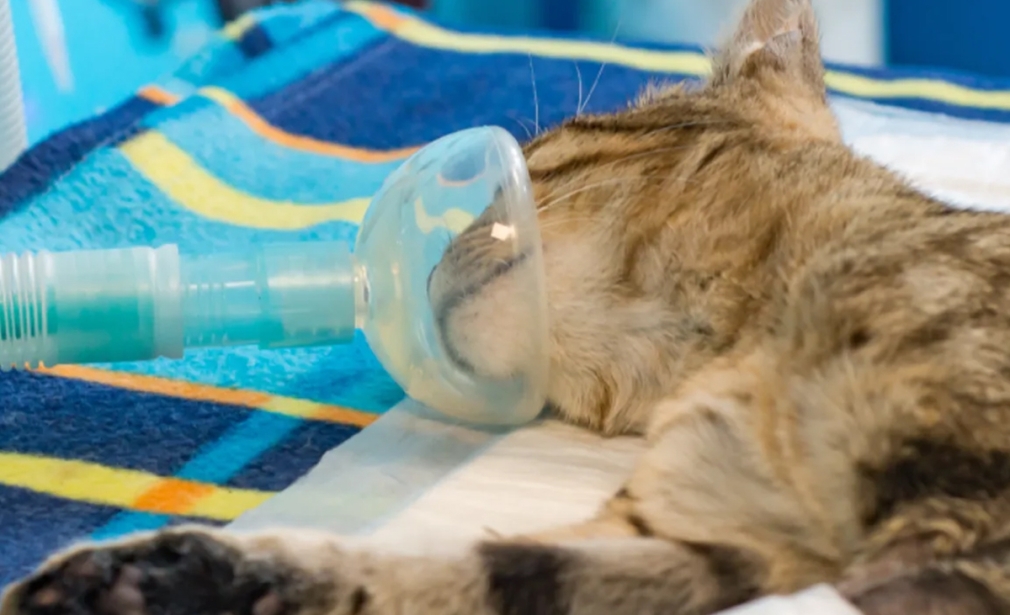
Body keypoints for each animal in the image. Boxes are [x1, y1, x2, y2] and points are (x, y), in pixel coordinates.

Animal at [6, 0, 1010, 613]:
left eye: (526, 164)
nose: (422, 260)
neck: (743, 350)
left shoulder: (950, 548)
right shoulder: (719, 536)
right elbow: (492, 572)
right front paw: (169, 577)